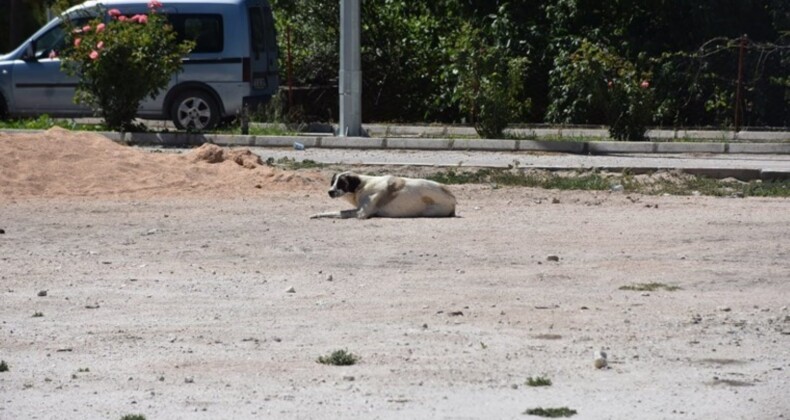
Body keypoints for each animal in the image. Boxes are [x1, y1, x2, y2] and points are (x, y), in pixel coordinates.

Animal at [310, 171, 458, 220]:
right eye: (332, 182)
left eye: (342, 183)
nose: (330, 192)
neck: (362, 187)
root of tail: (452, 198)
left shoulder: (361, 214)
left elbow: (338, 212)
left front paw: (318, 215)